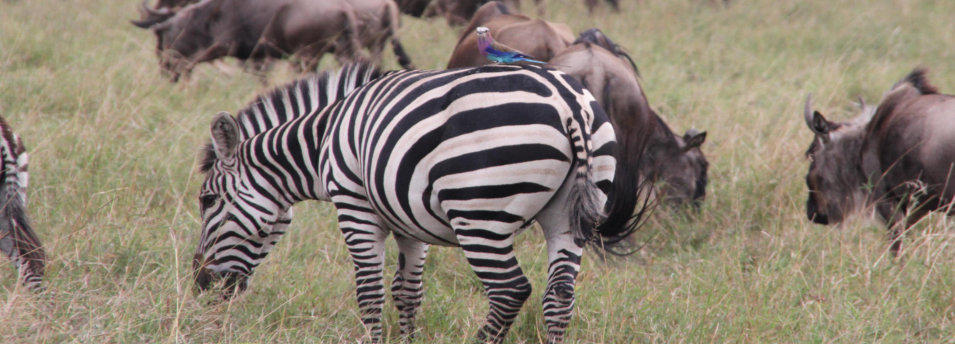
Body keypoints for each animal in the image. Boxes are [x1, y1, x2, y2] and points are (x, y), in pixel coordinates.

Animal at [190, 63, 648, 342]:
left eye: (208, 200)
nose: (200, 285)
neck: (323, 143)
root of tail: (567, 100)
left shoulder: (355, 206)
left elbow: (370, 290)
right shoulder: (410, 221)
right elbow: (408, 291)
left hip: (480, 213)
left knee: (509, 290)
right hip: (568, 217)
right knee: (559, 296)